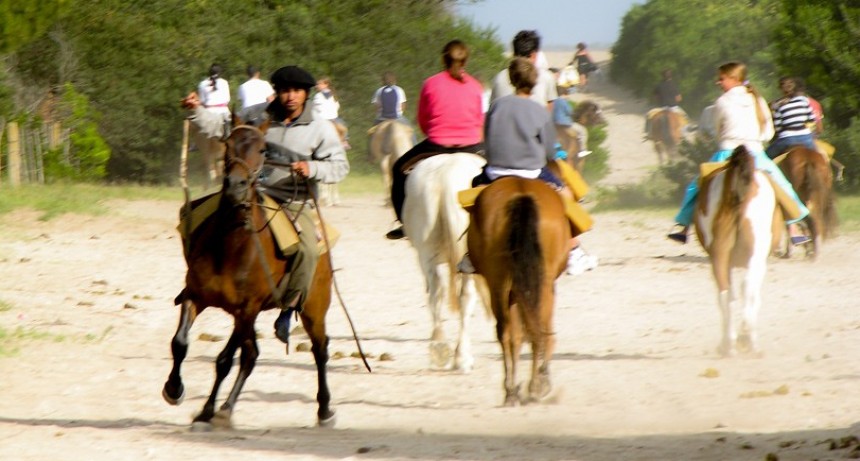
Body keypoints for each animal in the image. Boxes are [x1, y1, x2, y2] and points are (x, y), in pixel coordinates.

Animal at [161, 119, 336, 428]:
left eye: (263, 149)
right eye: (227, 144)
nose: (236, 185)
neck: (230, 247)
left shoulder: (246, 309)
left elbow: (244, 357)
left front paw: (224, 409)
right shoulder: (197, 296)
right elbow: (181, 343)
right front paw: (174, 390)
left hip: (312, 309)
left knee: (319, 349)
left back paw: (324, 409)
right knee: (233, 357)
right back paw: (209, 409)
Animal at [402, 153, 484, 372]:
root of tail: (445, 174)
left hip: (428, 254)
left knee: (436, 294)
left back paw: (439, 346)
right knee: (465, 298)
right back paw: (462, 356)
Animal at [464, 175, 572, 402]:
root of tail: (522, 195)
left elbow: (519, 333)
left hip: (502, 283)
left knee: (510, 332)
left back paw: (514, 390)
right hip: (539, 281)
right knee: (534, 329)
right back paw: (534, 385)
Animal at [696, 146, 784, 358]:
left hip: (719, 257)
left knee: (724, 293)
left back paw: (729, 344)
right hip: (756, 256)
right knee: (747, 288)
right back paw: (748, 339)